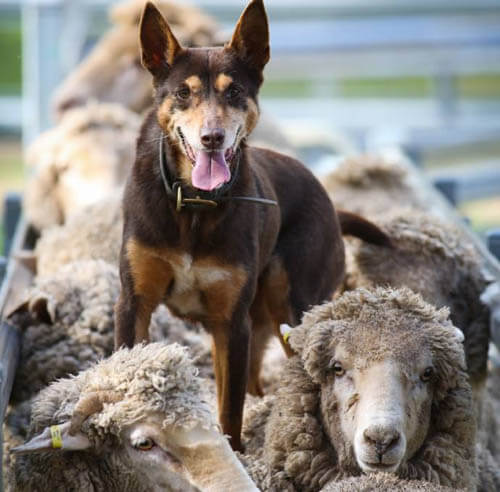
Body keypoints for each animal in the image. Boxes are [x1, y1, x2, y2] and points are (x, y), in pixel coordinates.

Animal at [115, 0, 388, 450]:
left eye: (235, 92)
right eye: (183, 92)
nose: (212, 137)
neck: (194, 202)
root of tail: (331, 205)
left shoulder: (232, 323)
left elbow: (231, 407)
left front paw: (235, 451)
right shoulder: (134, 304)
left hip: (295, 309)